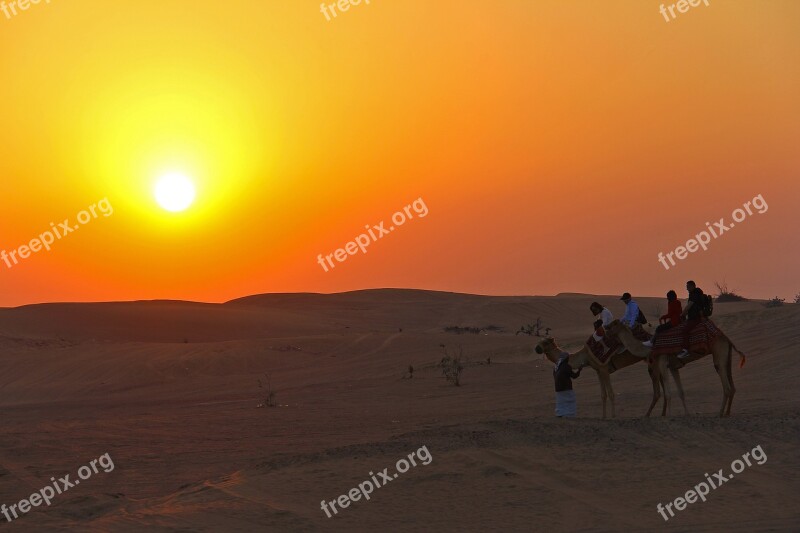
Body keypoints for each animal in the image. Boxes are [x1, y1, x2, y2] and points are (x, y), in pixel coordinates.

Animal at [536, 336, 664, 420]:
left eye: (545, 342)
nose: (536, 348)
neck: (585, 356)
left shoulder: (604, 369)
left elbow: (611, 393)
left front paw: (613, 416)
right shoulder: (598, 371)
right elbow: (603, 395)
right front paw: (603, 416)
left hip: (654, 360)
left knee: (657, 388)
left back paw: (649, 414)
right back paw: (660, 413)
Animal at [608, 318, 748, 418]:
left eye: (614, 323)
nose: (606, 326)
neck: (649, 348)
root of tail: (727, 338)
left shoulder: (662, 362)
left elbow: (668, 393)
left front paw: (669, 416)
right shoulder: (673, 367)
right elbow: (681, 392)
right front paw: (687, 414)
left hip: (718, 353)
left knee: (726, 387)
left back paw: (719, 413)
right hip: (726, 357)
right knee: (732, 385)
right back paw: (727, 413)